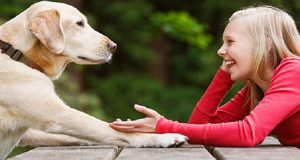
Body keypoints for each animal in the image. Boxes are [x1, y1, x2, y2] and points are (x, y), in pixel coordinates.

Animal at [0, 0, 186, 159]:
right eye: (79, 23)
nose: (114, 46)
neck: (18, 54)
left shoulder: (31, 132)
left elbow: (79, 136)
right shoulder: (60, 115)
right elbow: (113, 130)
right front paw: (165, 137)